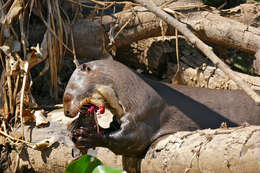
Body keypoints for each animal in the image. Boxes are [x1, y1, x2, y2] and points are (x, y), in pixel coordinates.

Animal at [63, 59, 260, 157]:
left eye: (67, 97)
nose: (66, 112)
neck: (134, 94)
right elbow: (111, 129)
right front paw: (74, 131)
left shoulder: (145, 115)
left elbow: (129, 141)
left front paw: (87, 135)